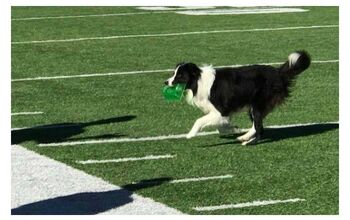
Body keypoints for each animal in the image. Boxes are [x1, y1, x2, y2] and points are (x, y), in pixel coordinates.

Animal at [165, 50, 310, 145]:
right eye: (173, 73)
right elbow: (221, 126)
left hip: (257, 104)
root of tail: (278, 72)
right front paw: (233, 128)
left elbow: (199, 120)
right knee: (257, 126)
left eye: (179, 75)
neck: (198, 81)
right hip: (253, 107)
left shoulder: (220, 110)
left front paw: (190, 134)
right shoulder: (222, 113)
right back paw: (245, 137)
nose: (166, 82)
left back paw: (249, 141)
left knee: (258, 127)